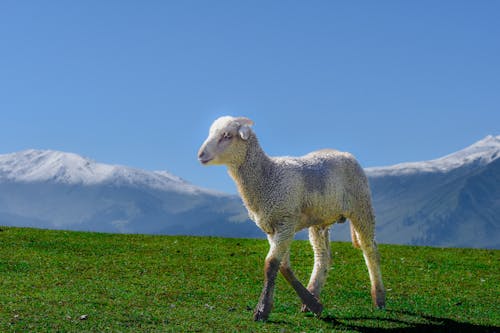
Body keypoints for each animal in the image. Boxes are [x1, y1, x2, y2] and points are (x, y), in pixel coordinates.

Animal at [197, 115, 384, 320]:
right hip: (320, 220)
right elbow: (282, 266)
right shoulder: (272, 228)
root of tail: (343, 153)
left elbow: (271, 264)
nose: (200, 154)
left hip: (361, 205)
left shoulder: (285, 222)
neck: (267, 176)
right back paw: (312, 293)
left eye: (227, 135)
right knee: (322, 256)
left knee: (370, 250)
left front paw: (262, 309)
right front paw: (312, 304)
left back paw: (379, 298)